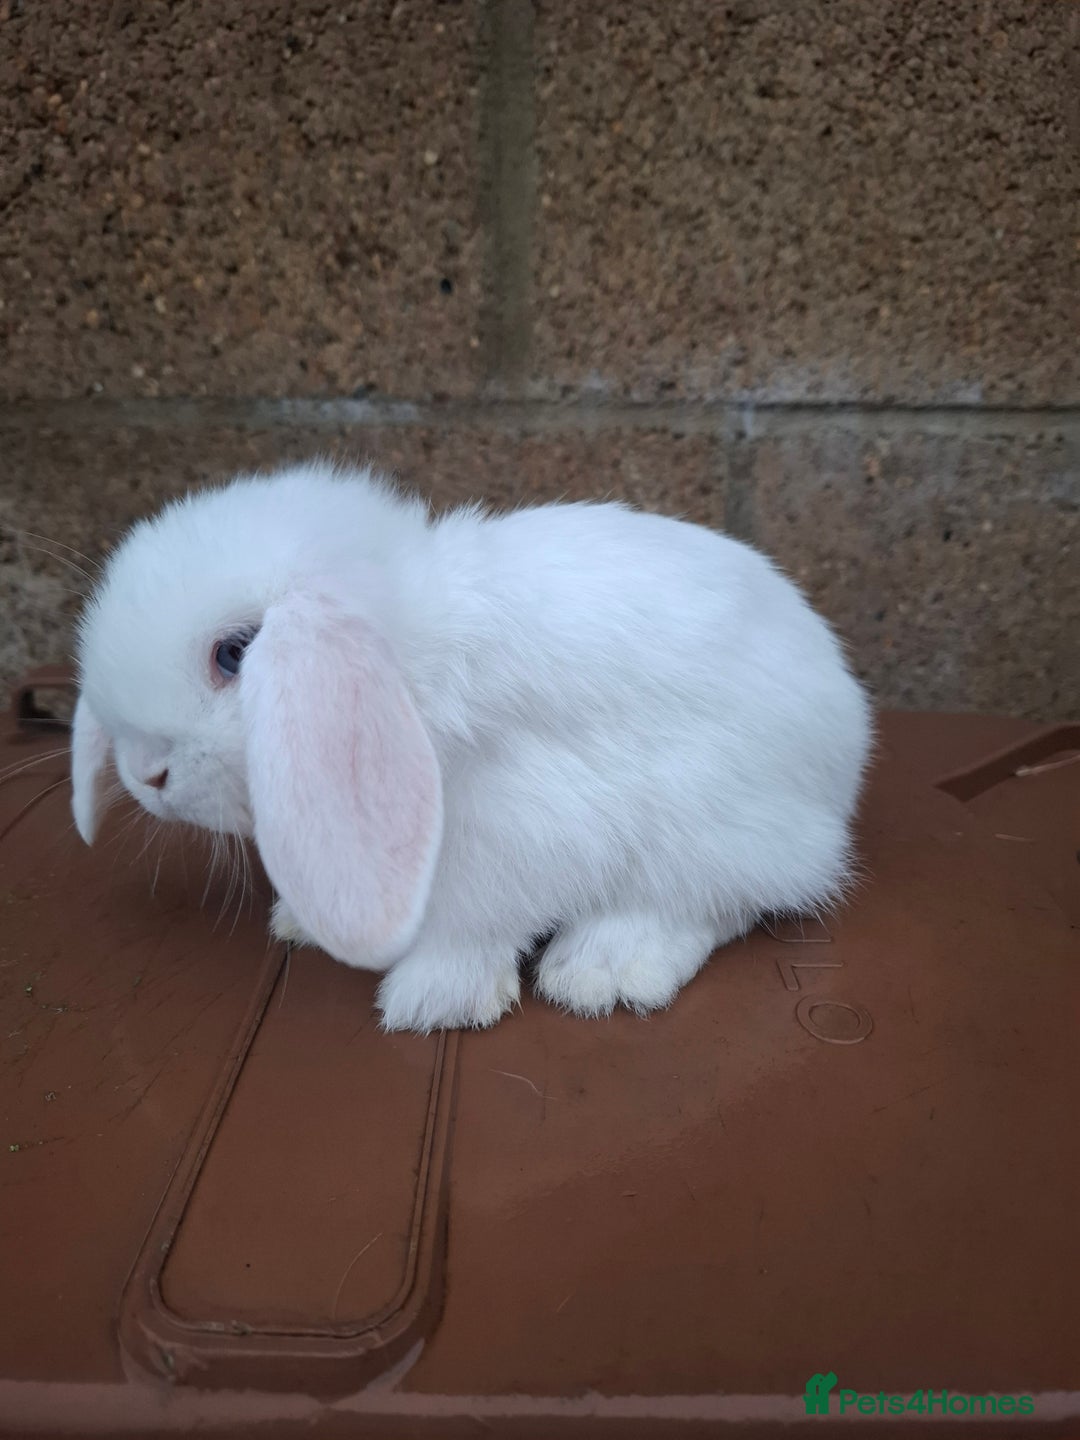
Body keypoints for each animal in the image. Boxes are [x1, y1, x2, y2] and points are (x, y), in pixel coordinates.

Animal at [71, 461, 872, 1033]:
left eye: (234, 654)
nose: (144, 776)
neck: (422, 667)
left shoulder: (520, 831)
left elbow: (472, 921)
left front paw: (434, 998)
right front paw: (304, 919)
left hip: (718, 818)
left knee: (720, 899)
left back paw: (603, 971)